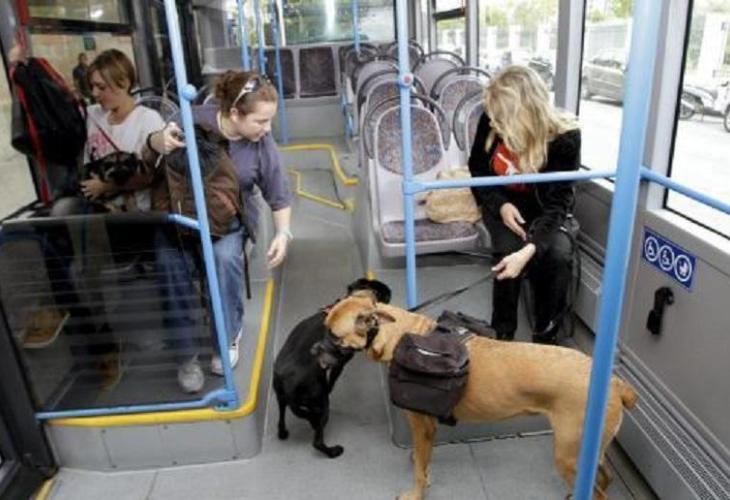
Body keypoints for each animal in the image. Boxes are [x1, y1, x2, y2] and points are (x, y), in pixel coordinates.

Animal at [272, 279, 391, 458]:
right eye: (382, 292)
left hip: (281, 397)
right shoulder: (340, 363)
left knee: (280, 417)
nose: (390, 292)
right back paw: (333, 451)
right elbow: (333, 380)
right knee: (317, 441)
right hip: (322, 404)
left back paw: (283, 432)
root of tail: (288, 384)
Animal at [322, 293, 637, 499]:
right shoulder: (430, 427)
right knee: (604, 478)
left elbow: (420, 472)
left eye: (334, 336)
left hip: (569, 455)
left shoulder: (420, 425)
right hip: (589, 453)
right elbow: (424, 460)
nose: (314, 350)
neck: (400, 333)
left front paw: (416, 492)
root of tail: (615, 383)